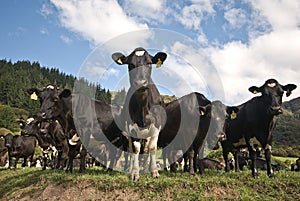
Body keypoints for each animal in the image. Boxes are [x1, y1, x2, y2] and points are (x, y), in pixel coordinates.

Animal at [112, 47, 168, 181]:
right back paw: (131, 168)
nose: (140, 83)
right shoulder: (131, 128)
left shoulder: (156, 127)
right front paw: (135, 173)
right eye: (130, 65)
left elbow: (152, 148)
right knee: (130, 151)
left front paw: (154, 172)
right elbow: (135, 150)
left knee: (146, 148)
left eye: (149, 63)